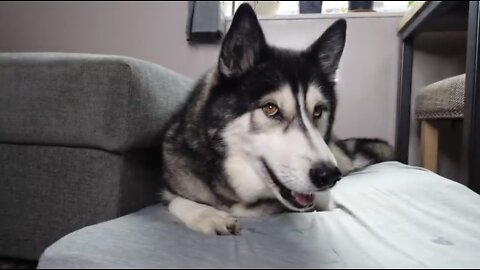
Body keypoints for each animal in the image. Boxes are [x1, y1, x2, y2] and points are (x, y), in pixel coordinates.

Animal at [159, 4, 392, 236]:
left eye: (318, 111)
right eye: (270, 108)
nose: (328, 176)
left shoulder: (325, 198)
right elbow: (175, 200)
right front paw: (207, 215)